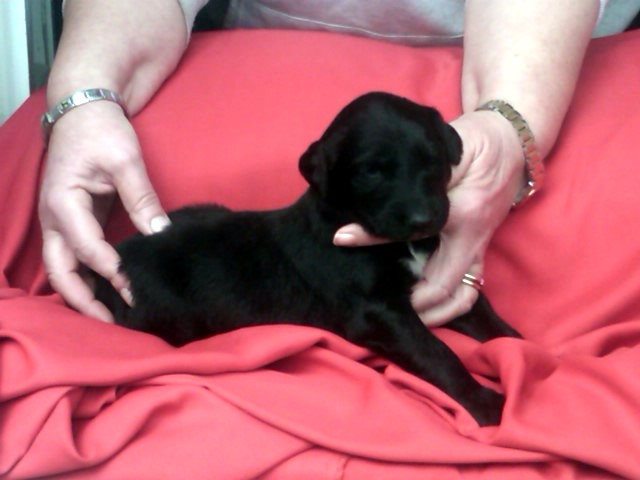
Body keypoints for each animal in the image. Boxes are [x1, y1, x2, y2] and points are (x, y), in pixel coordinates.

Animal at [94, 92, 521, 426]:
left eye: (433, 161)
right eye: (372, 172)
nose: (422, 219)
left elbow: (484, 316)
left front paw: (520, 352)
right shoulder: (377, 311)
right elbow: (434, 351)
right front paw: (484, 403)